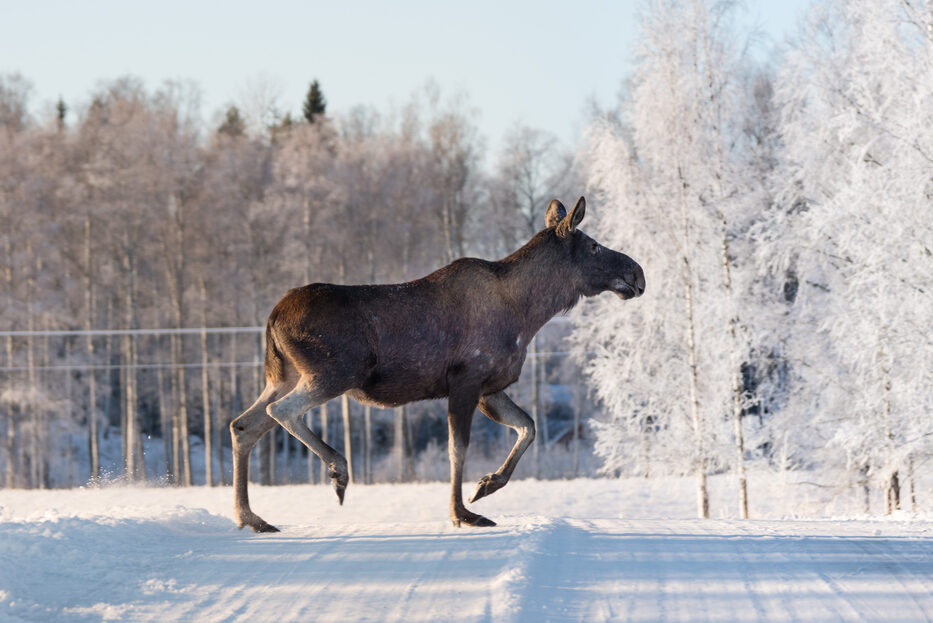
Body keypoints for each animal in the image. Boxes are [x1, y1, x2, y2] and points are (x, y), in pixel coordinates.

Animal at [229, 196, 644, 532]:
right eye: (593, 246)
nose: (637, 274)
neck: (530, 312)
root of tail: (272, 317)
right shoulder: (466, 379)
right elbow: (458, 448)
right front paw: (462, 513)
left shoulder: (490, 388)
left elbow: (529, 426)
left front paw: (486, 485)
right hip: (334, 372)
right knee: (282, 411)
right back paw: (337, 470)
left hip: (283, 376)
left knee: (243, 425)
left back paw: (251, 517)